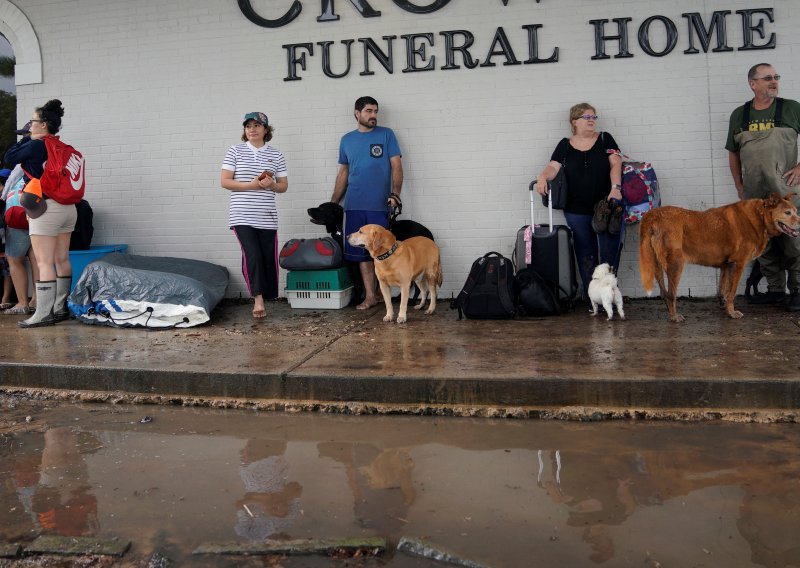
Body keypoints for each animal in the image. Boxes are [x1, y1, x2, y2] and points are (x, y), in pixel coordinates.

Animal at [636, 192, 800, 322]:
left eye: (796, 212)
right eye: (787, 213)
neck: (760, 216)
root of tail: (652, 216)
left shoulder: (726, 265)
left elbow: (722, 289)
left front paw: (724, 306)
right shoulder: (738, 263)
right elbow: (732, 292)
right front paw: (732, 312)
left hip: (656, 263)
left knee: (663, 293)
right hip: (676, 264)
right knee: (671, 294)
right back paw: (674, 316)